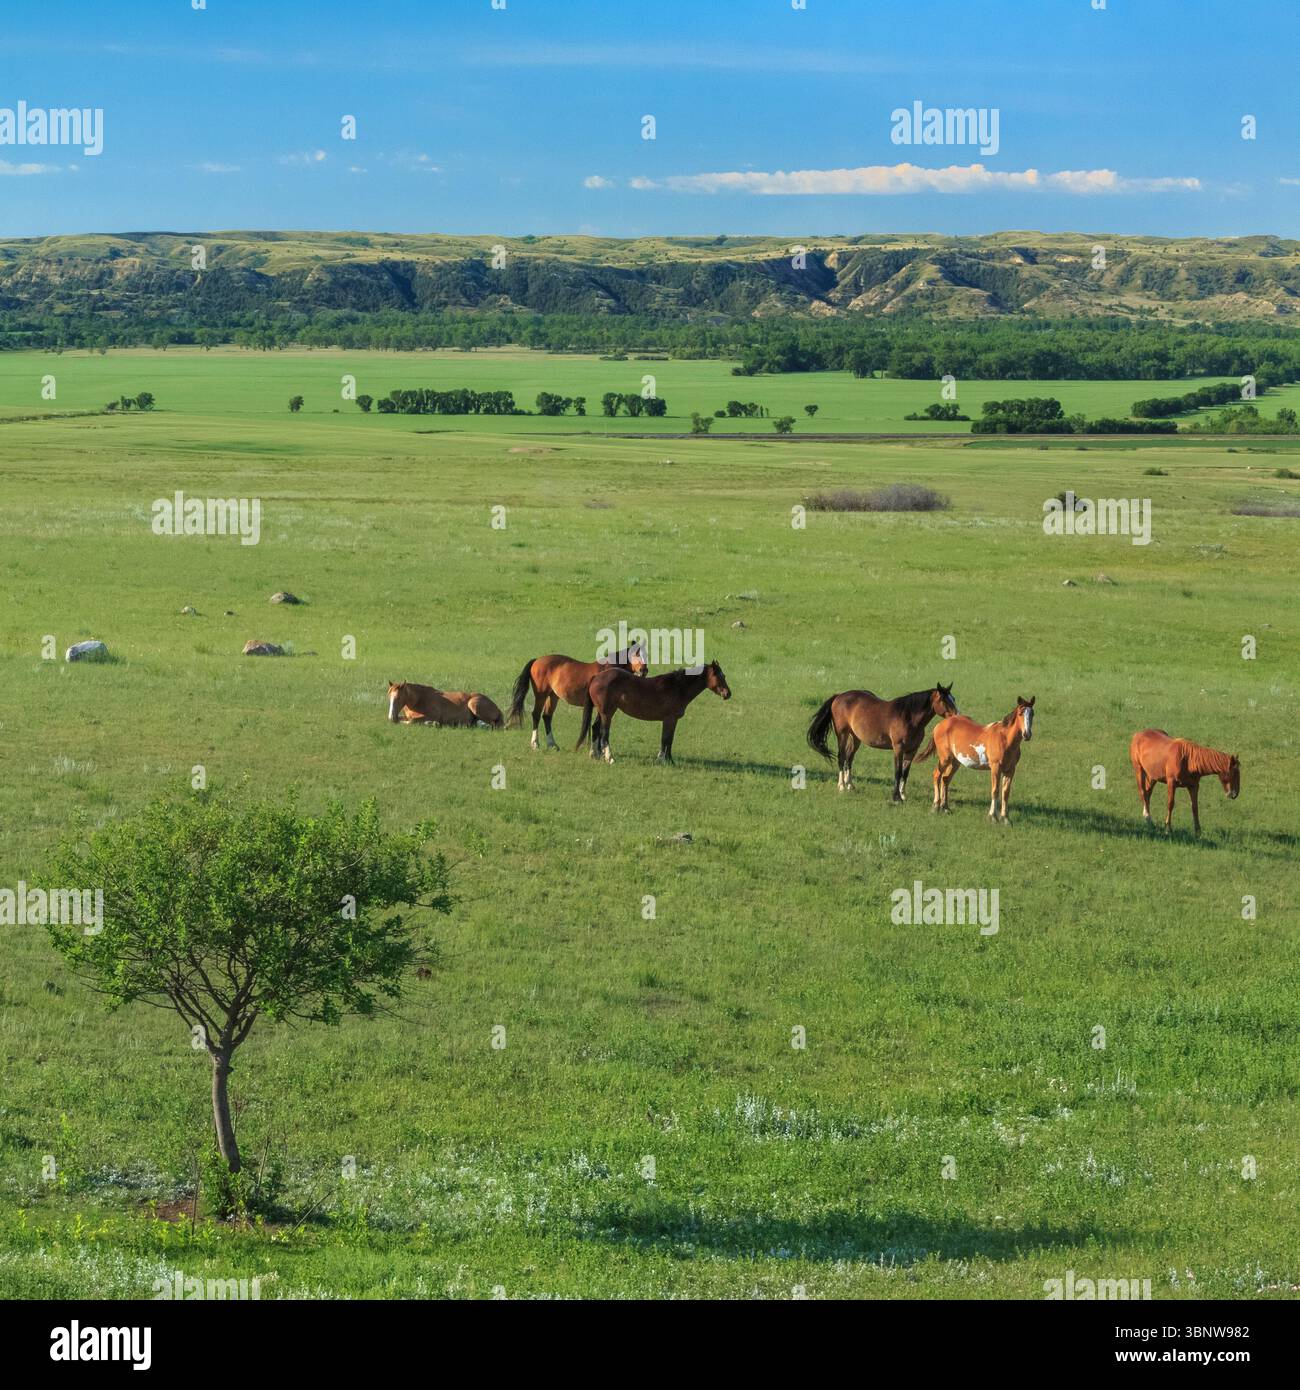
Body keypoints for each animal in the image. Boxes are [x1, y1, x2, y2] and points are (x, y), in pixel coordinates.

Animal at [506, 645, 647, 749]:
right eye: (636, 654)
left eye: (646, 654)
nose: (644, 670)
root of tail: (537, 660)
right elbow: (599, 725)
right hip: (541, 695)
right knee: (536, 715)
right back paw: (535, 743)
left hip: (553, 696)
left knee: (547, 716)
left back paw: (552, 744)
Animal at [576, 661, 731, 763]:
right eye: (720, 676)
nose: (728, 694)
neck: (677, 687)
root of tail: (597, 677)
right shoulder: (670, 719)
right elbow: (666, 739)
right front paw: (664, 759)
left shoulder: (670, 721)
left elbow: (668, 740)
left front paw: (668, 759)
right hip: (608, 713)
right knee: (604, 733)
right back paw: (609, 757)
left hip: (602, 712)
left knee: (595, 728)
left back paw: (594, 754)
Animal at [806, 683, 958, 800]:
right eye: (944, 700)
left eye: (953, 698)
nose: (957, 715)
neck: (909, 718)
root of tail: (839, 696)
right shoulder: (898, 749)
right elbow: (898, 772)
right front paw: (896, 797)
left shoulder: (911, 751)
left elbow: (905, 773)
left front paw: (903, 795)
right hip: (842, 734)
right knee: (841, 757)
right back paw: (842, 786)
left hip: (855, 738)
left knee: (849, 758)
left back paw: (850, 785)